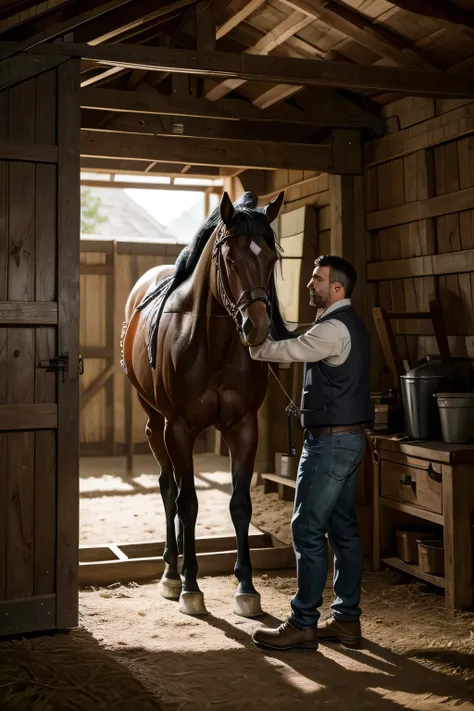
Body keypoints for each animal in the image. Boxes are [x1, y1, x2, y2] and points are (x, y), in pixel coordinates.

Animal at [122, 189, 286, 616]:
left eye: (271, 257)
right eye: (230, 258)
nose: (257, 328)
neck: (212, 344)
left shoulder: (243, 427)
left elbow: (239, 504)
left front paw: (246, 588)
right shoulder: (178, 428)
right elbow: (189, 503)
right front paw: (190, 586)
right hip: (156, 424)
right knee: (169, 489)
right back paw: (171, 572)